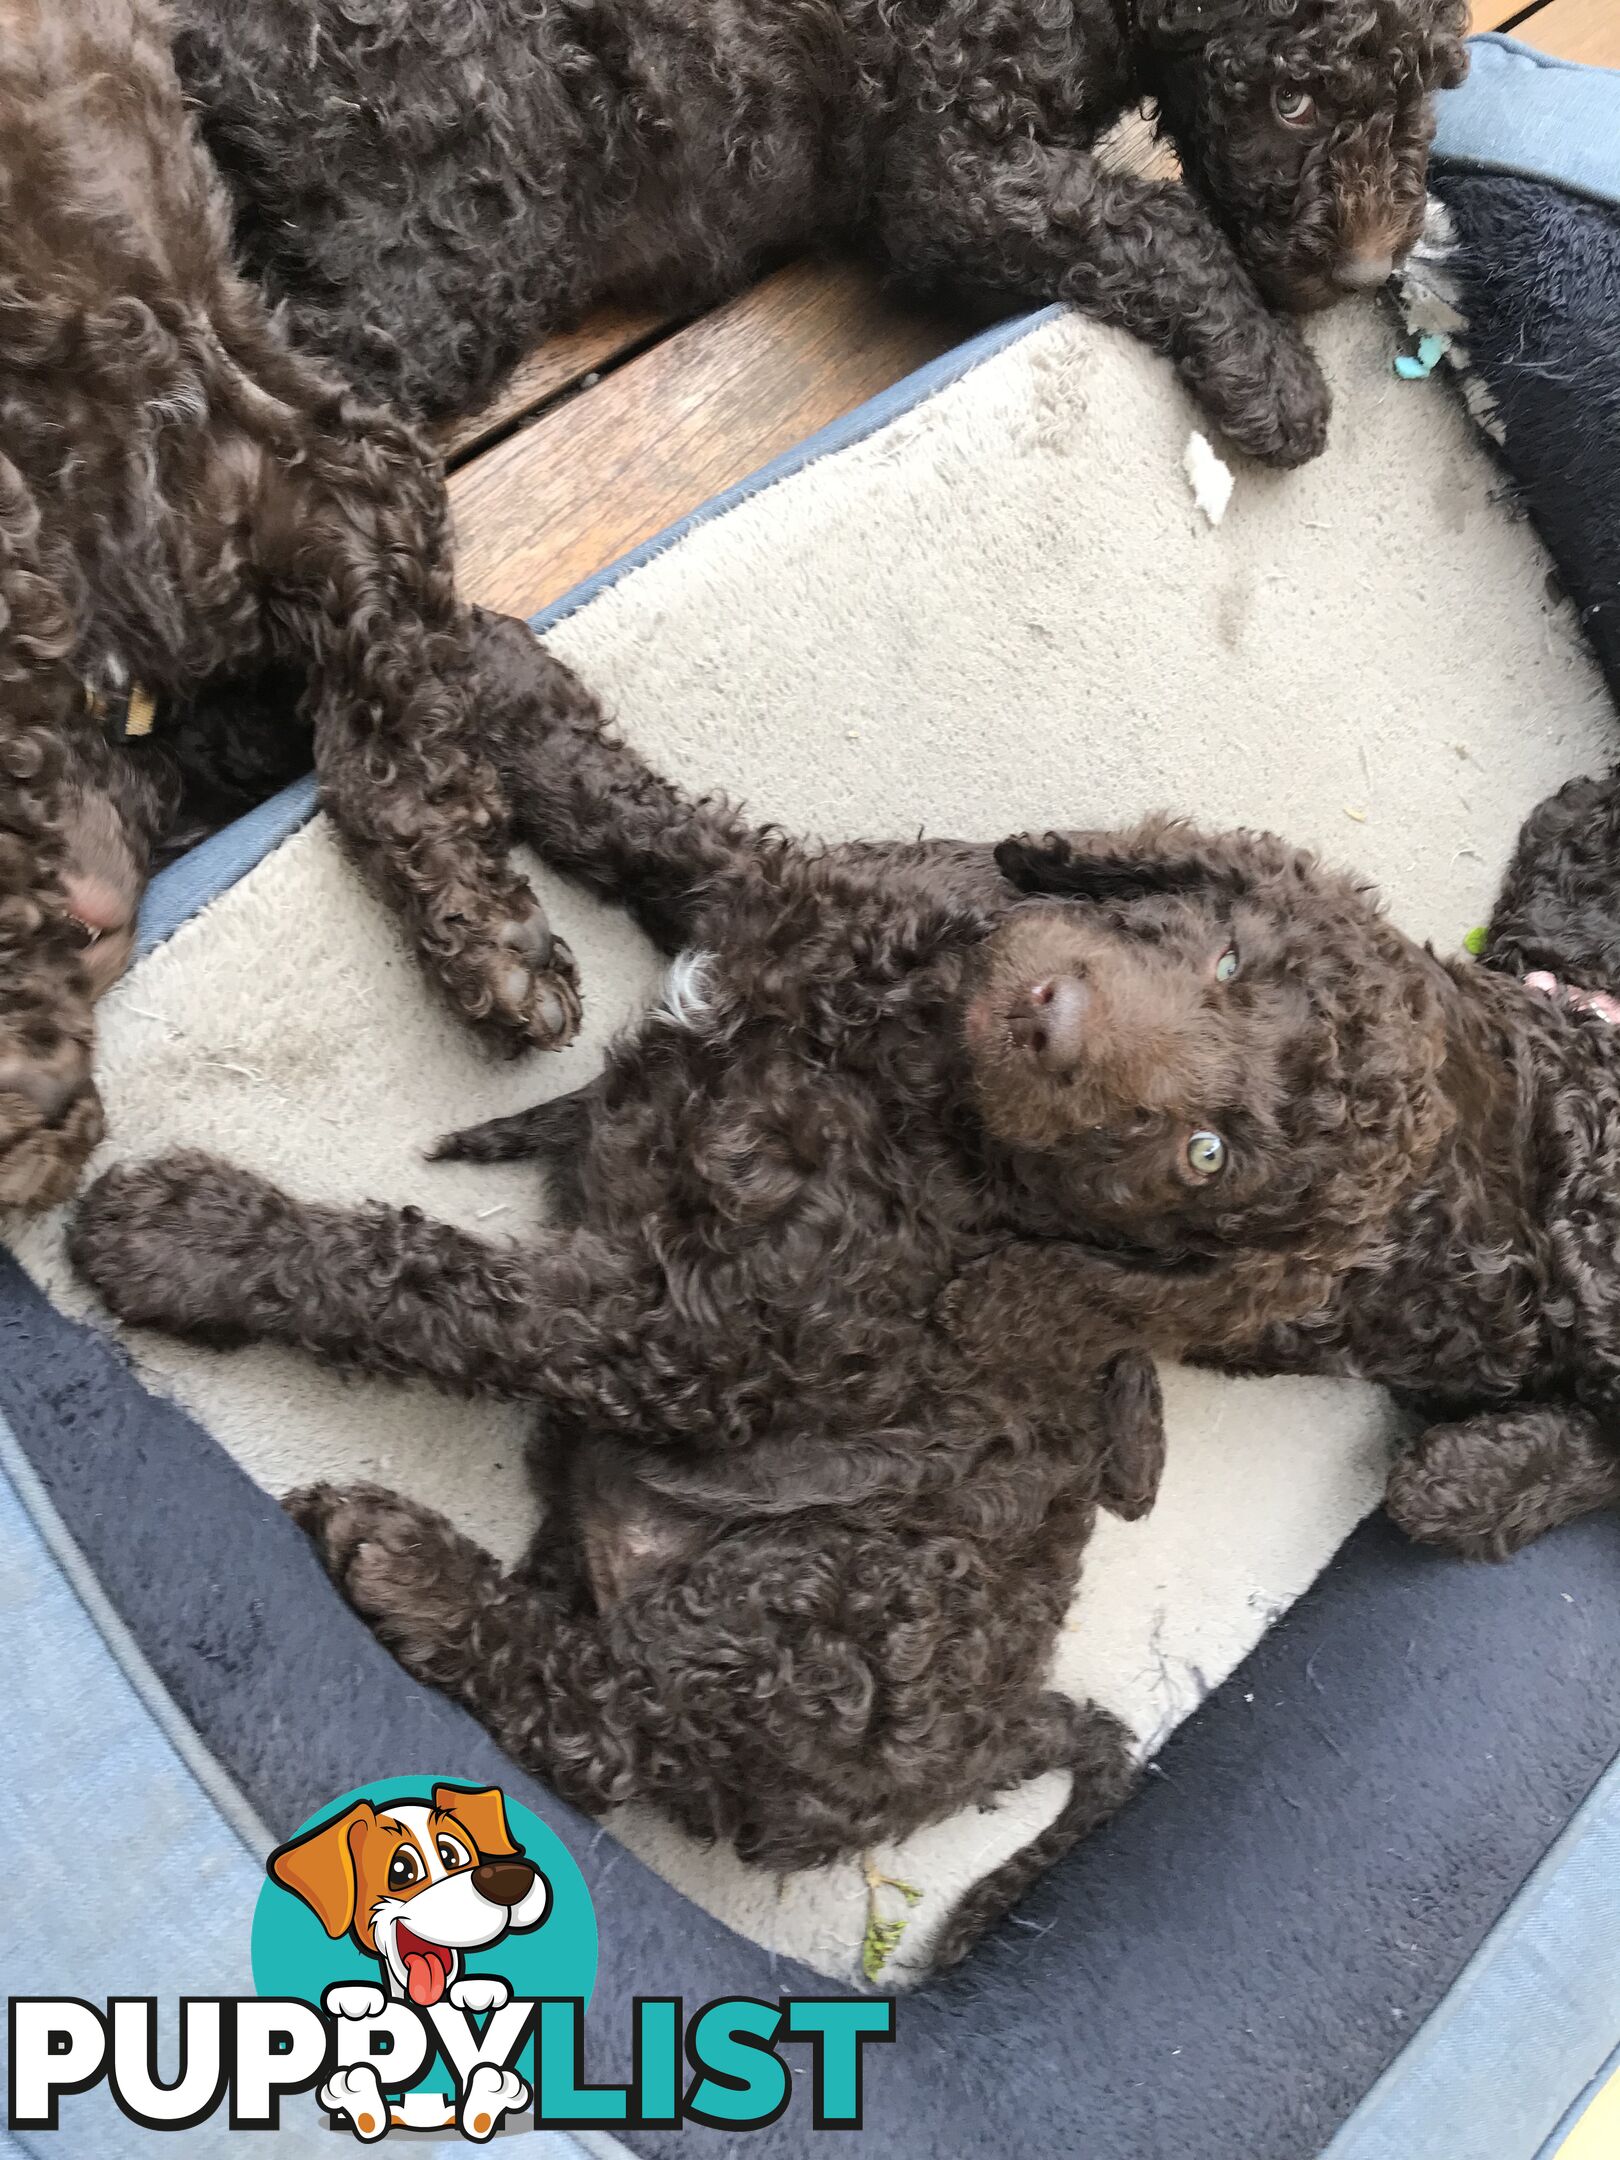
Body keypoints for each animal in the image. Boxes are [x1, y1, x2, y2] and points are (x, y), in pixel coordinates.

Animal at [174, 0, 1468, 468]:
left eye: (1433, 81)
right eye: (1288, 101)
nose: (1369, 268)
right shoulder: (951, 173)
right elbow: (1156, 217)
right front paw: (1273, 377)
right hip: (446, 251)